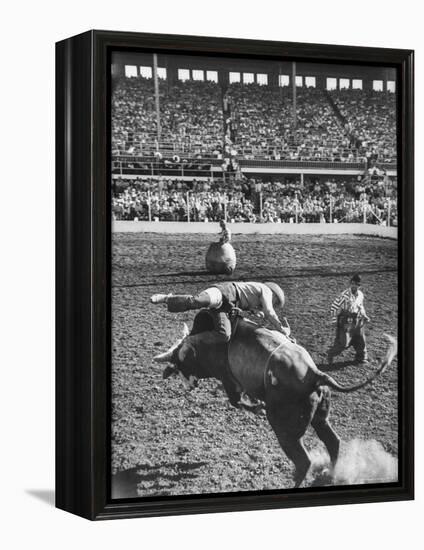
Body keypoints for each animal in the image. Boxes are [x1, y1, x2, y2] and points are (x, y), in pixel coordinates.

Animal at [153, 312, 398, 490]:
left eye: (180, 364)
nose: (188, 385)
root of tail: (314, 374)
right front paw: (256, 404)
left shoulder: (228, 379)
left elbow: (236, 401)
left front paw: (258, 407)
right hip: (320, 417)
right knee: (333, 442)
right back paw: (331, 472)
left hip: (285, 430)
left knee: (304, 460)